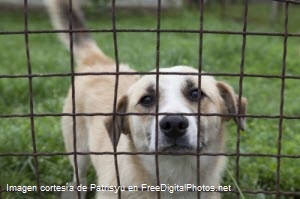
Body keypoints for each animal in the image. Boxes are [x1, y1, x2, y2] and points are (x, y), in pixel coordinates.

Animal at [47, 0, 247, 198]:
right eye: (147, 99)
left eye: (196, 93)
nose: (174, 124)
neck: (175, 181)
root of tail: (98, 61)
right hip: (77, 149)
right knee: (78, 176)